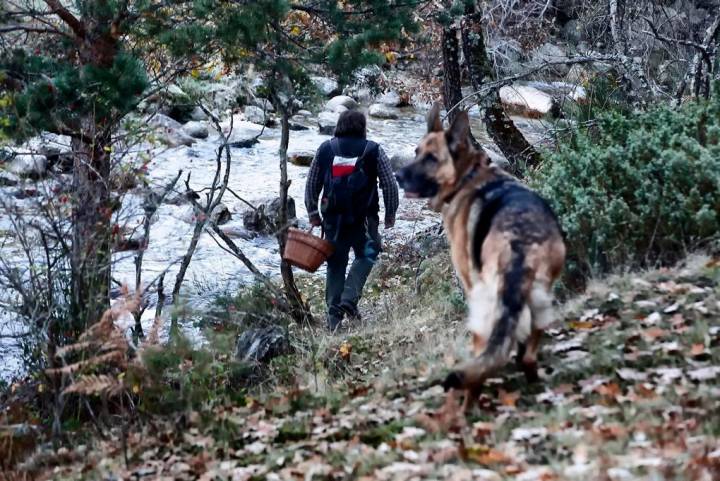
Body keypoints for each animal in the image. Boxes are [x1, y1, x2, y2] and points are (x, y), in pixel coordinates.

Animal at [394, 104, 568, 408]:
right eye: (416, 152)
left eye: (431, 158)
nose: (398, 176)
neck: (468, 176)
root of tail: (520, 243)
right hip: (541, 297)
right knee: (527, 353)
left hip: (482, 301)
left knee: (481, 354)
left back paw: (468, 400)